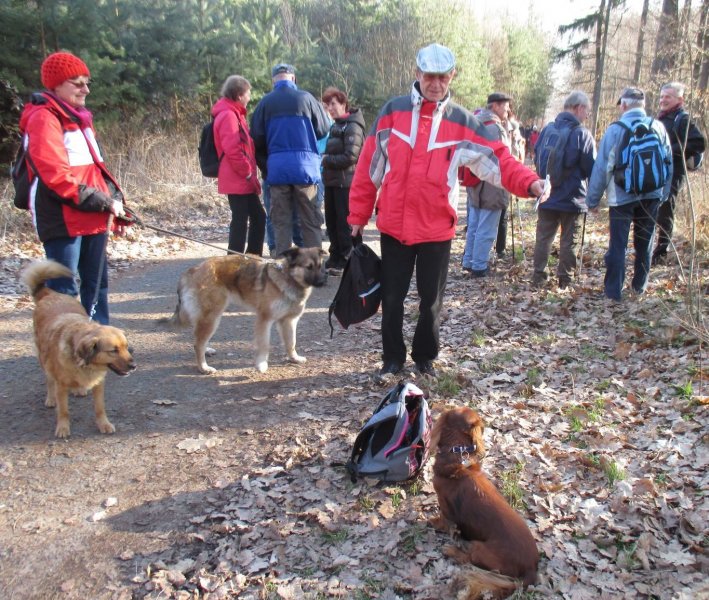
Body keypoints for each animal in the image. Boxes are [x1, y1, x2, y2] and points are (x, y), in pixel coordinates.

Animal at [21, 260, 136, 438]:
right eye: (113, 350)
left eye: (126, 347)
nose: (134, 366)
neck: (86, 365)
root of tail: (50, 294)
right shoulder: (61, 387)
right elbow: (63, 411)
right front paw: (62, 428)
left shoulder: (99, 384)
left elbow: (100, 408)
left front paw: (104, 424)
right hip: (43, 357)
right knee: (49, 379)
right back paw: (51, 398)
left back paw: (79, 389)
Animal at [160, 246, 326, 372]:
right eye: (308, 267)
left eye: (320, 266)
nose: (323, 282)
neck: (288, 277)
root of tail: (193, 270)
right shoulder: (264, 320)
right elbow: (264, 345)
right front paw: (261, 364)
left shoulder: (289, 321)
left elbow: (291, 342)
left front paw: (294, 358)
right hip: (212, 317)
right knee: (197, 344)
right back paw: (203, 368)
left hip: (206, 317)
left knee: (198, 338)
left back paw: (207, 350)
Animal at [428, 406, 540, 596]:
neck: (457, 456)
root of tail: (531, 569)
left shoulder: (443, 503)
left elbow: (443, 519)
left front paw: (434, 522)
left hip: (479, 548)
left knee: (467, 559)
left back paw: (451, 550)